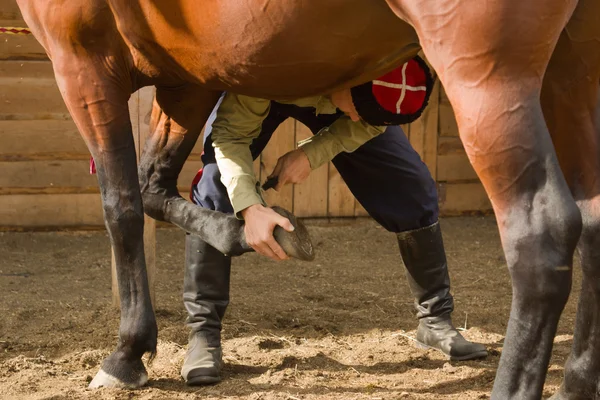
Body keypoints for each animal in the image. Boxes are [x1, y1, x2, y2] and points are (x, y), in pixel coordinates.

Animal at [12, 0, 600, 398]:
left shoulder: (83, 63)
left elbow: (123, 206)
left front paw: (126, 354)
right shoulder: (187, 79)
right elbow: (156, 187)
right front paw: (236, 232)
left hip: (486, 74)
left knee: (543, 236)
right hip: (574, 70)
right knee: (591, 222)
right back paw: (574, 384)